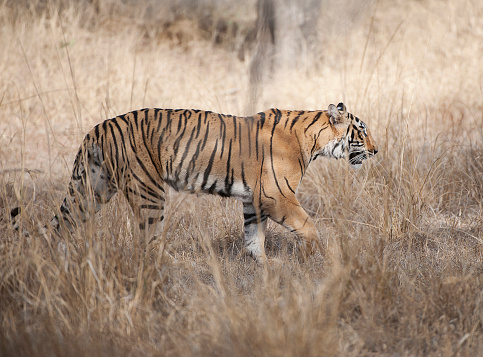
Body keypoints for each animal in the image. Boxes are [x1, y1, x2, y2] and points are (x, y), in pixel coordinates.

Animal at [10, 101, 378, 262]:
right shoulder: (277, 196)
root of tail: (96, 129)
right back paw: (165, 267)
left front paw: (262, 269)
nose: (376, 150)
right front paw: (320, 256)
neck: (315, 141)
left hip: (91, 190)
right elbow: (308, 225)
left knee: (60, 227)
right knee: (146, 242)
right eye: (361, 130)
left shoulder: (253, 200)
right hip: (149, 193)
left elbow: (253, 237)